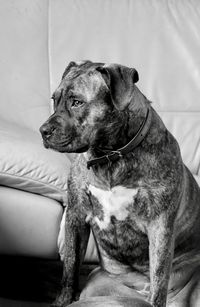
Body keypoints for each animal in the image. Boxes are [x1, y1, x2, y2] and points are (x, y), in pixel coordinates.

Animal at [39, 60, 200, 307]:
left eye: (77, 102)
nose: (43, 131)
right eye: (54, 100)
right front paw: (63, 299)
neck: (110, 155)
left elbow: (159, 276)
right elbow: (70, 268)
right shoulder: (77, 216)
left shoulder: (160, 224)